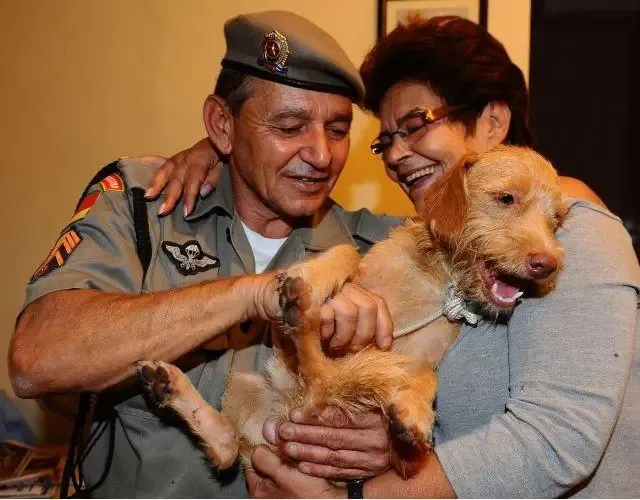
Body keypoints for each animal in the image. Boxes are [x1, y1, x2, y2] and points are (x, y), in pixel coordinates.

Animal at [134, 144, 564, 476]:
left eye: (555, 221)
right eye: (506, 199)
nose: (549, 264)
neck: (440, 281)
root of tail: (290, 408)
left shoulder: (423, 366)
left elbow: (425, 375)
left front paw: (413, 408)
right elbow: (347, 252)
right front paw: (309, 277)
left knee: (299, 390)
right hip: (245, 383)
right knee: (240, 431)